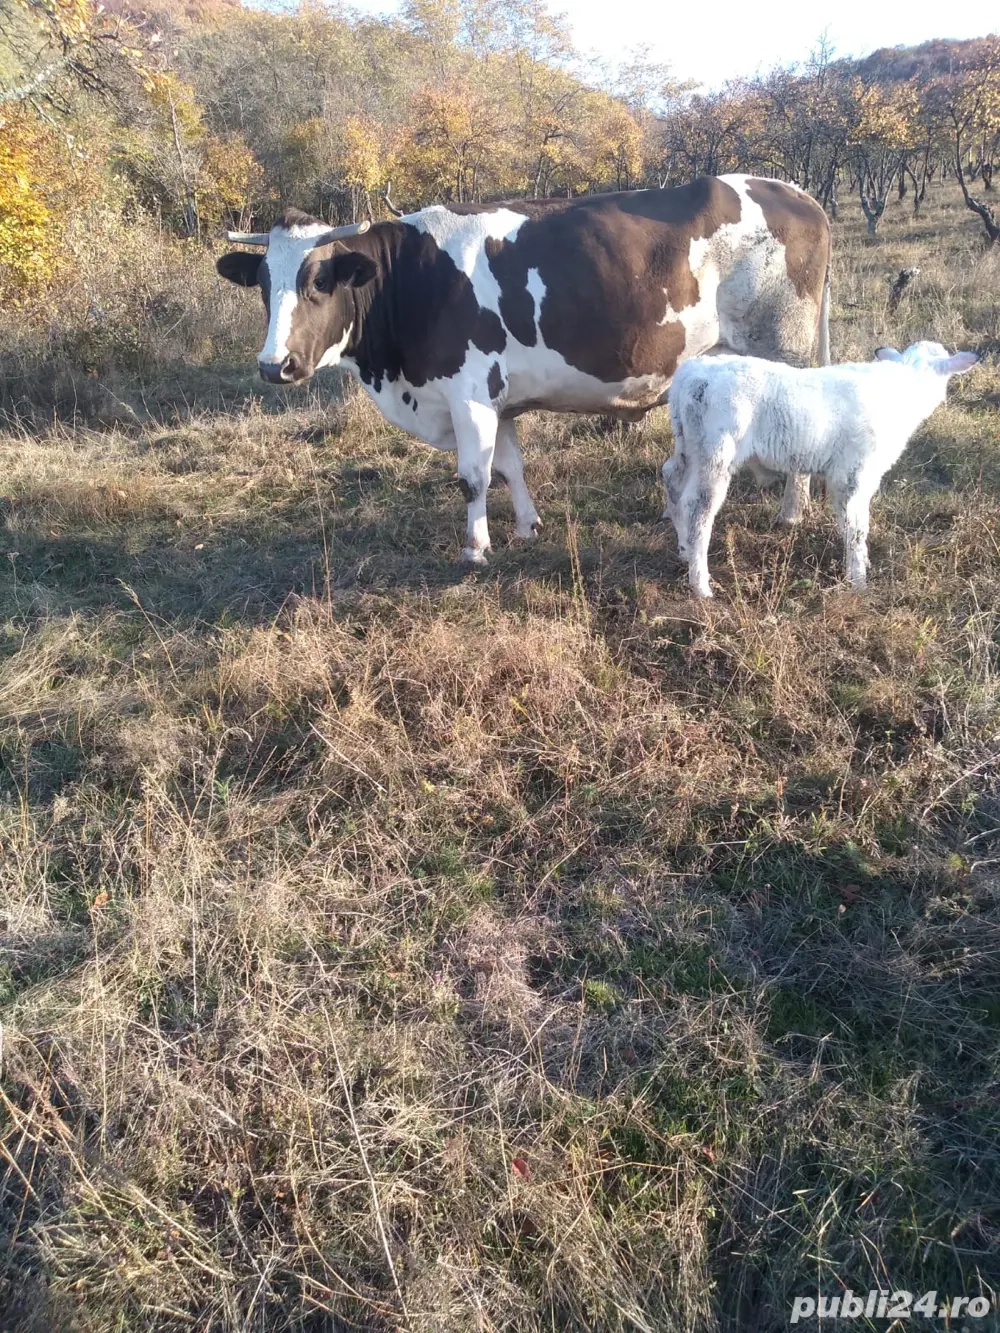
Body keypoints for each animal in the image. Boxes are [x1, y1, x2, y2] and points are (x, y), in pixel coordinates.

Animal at [217, 175, 831, 565]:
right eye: (263, 285)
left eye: (320, 281)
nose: (275, 366)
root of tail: (793, 191)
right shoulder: (498, 399)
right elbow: (510, 466)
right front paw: (527, 527)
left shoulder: (468, 393)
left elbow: (473, 475)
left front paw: (475, 548)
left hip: (784, 348)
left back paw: (791, 514)